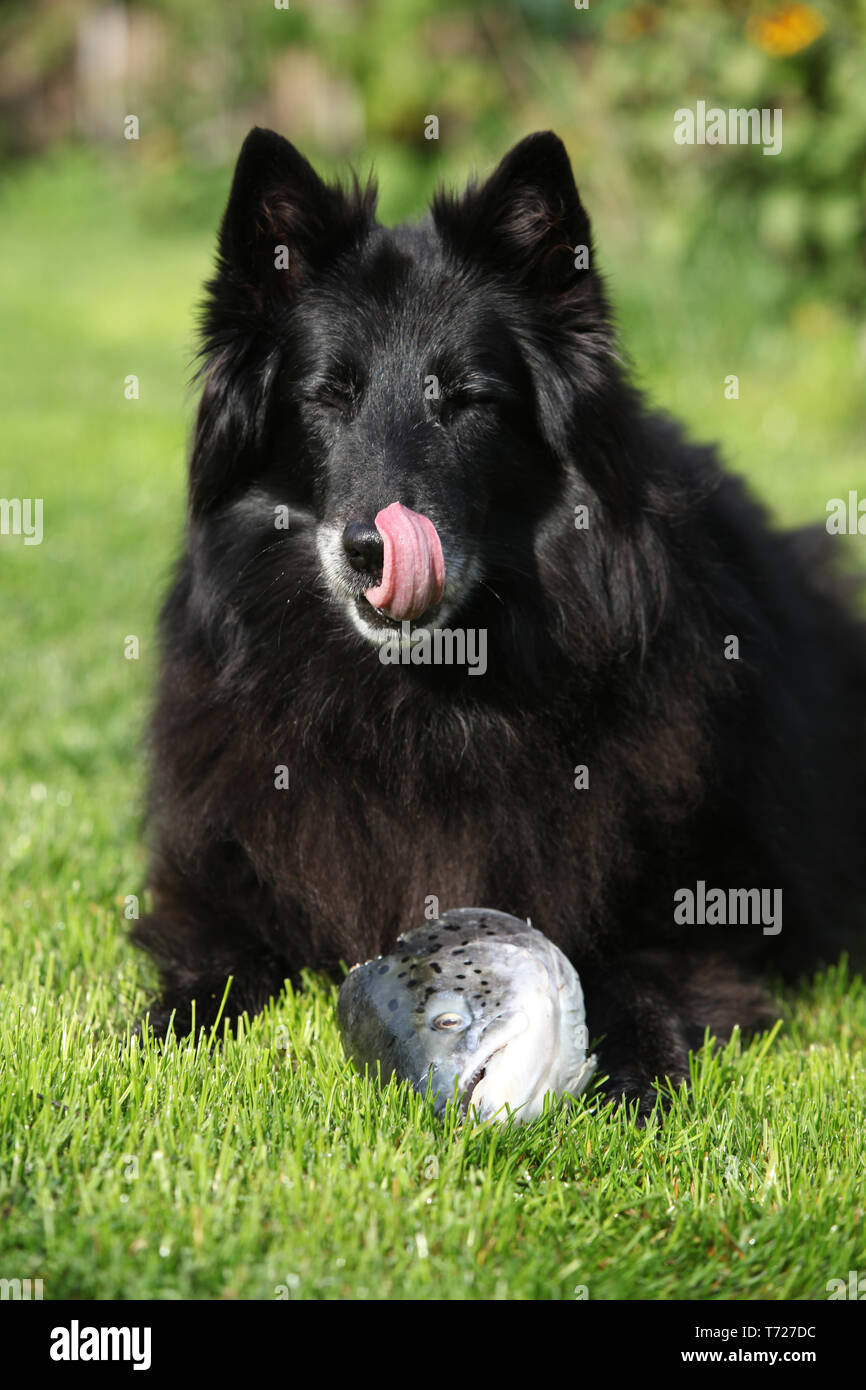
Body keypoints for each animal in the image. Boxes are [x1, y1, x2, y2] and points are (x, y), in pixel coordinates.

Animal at [134, 127, 866, 1106]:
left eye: (467, 398)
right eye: (328, 396)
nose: (373, 551)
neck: (422, 703)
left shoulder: (705, 913)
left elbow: (637, 971)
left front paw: (638, 1071)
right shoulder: (211, 881)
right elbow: (211, 970)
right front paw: (156, 1039)